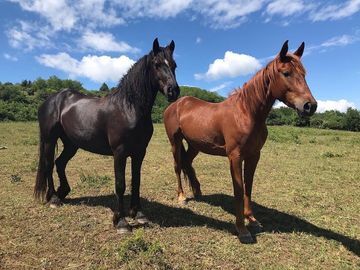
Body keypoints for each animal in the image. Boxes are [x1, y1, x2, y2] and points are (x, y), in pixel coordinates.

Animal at [34, 38, 179, 234]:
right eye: (157, 64)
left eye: (174, 65)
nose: (173, 91)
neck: (128, 107)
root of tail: (51, 100)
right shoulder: (119, 152)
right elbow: (120, 184)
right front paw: (121, 221)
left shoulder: (139, 152)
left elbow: (136, 181)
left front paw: (138, 214)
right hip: (49, 140)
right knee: (49, 165)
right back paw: (54, 199)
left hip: (71, 144)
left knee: (59, 163)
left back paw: (62, 192)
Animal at [165, 41, 316, 244]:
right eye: (286, 73)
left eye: (304, 73)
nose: (310, 106)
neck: (246, 112)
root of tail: (176, 104)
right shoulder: (235, 157)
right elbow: (238, 190)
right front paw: (242, 230)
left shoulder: (254, 156)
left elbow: (248, 188)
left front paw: (252, 220)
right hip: (175, 142)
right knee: (177, 166)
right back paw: (181, 196)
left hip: (195, 145)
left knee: (187, 163)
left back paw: (197, 191)